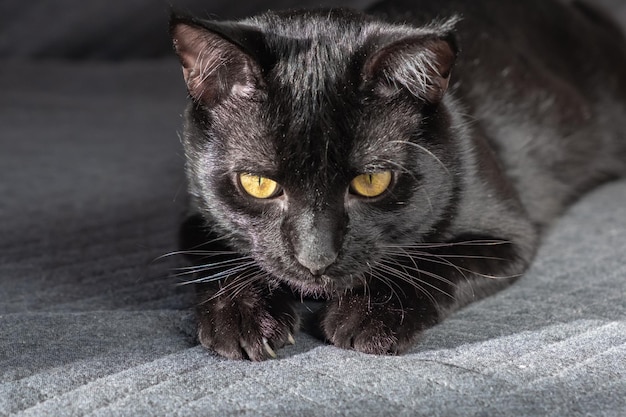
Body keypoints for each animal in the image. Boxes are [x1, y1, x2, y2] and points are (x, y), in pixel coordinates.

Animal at [167, 0, 624, 358]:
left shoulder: (508, 234)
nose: (316, 259)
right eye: (257, 184)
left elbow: (435, 260)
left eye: (372, 181)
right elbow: (216, 255)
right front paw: (241, 315)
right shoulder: (197, 216)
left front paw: (367, 315)